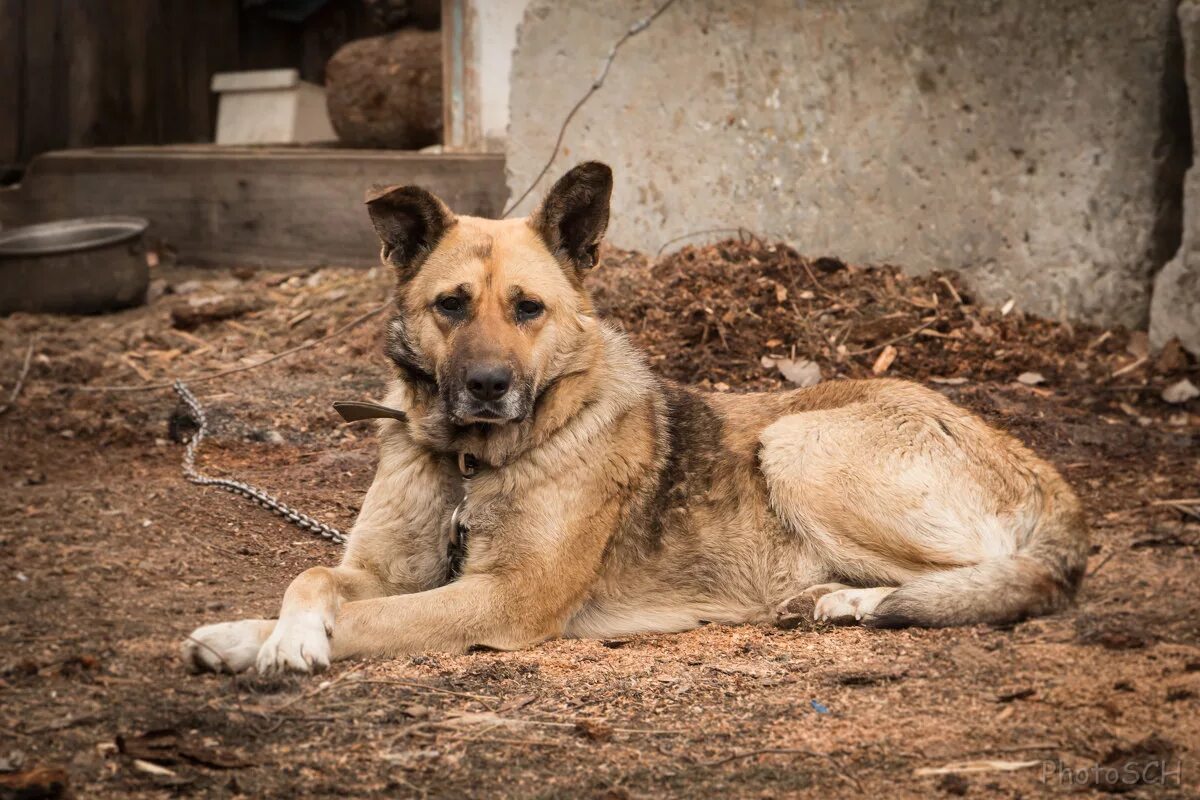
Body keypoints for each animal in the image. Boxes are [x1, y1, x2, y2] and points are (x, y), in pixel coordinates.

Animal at [182, 163, 1094, 676]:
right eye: (451, 305)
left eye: (529, 308)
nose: (486, 386)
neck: (471, 465)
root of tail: (1041, 468)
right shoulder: (382, 565)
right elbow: (314, 578)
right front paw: (258, 633)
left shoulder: (501, 601)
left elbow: (365, 618)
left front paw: (275, 645)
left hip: (798, 442)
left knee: (995, 578)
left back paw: (856, 604)